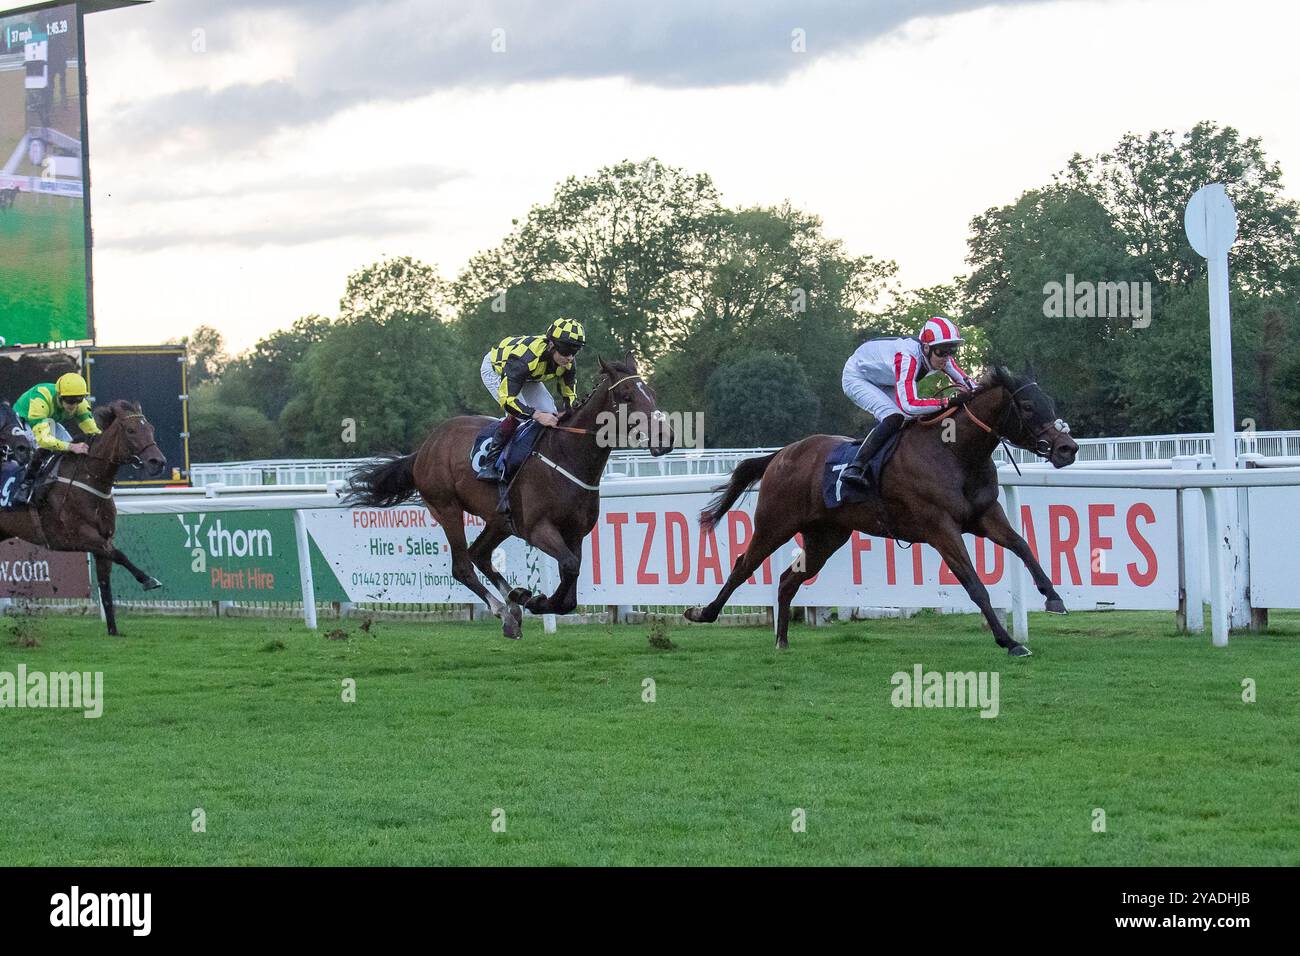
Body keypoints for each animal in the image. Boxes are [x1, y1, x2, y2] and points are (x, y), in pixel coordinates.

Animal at [0, 398, 169, 634]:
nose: (158, 462)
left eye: (151, 429)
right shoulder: (80, 536)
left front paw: (113, 630)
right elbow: (120, 555)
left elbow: (105, 582)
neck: (89, 478)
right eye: (131, 430)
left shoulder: (103, 539)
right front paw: (148, 579)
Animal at [340, 356, 676, 639]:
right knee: (463, 565)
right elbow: (568, 568)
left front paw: (529, 597)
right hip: (446, 507)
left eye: (652, 393)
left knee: (479, 554)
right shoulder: (538, 529)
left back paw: (512, 603)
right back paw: (504, 612)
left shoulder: (575, 532)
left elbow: (570, 589)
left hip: (500, 519)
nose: (666, 438)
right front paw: (535, 600)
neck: (566, 456)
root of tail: (423, 449)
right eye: (628, 396)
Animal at [681, 366, 1076, 658]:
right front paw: (1009, 641)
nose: (1067, 448)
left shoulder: (984, 516)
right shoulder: (940, 528)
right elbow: (974, 584)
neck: (954, 453)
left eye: (1050, 402)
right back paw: (702, 612)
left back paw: (782, 640)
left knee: (788, 580)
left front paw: (1054, 598)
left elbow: (1022, 546)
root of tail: (780, 454)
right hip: (775, 523)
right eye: (1028, 407)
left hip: (826, 536)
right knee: (743, 565)